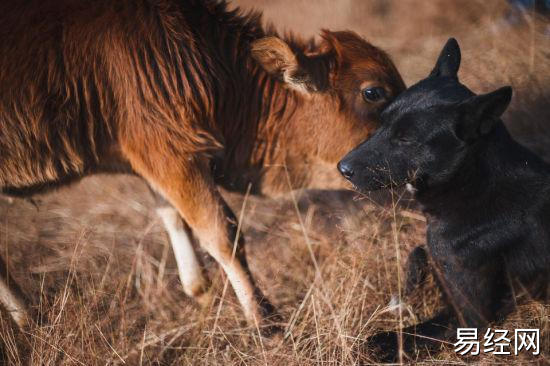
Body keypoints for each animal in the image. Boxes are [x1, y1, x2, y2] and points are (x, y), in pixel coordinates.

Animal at [0, 0, 406, 330]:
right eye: (373, 92)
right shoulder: (170, 152)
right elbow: (221, 232)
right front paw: (265, 320)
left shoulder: (158, 157)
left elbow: (176, 219)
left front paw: (203, 294)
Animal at [338, 38, 548, 360]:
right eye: (382, 123)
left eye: (405, 139)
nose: (342, 169)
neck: (472, 181)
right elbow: (418, 251)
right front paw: (407, 288)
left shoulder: (471, 320)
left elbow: (404, 336)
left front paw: (380, 342)